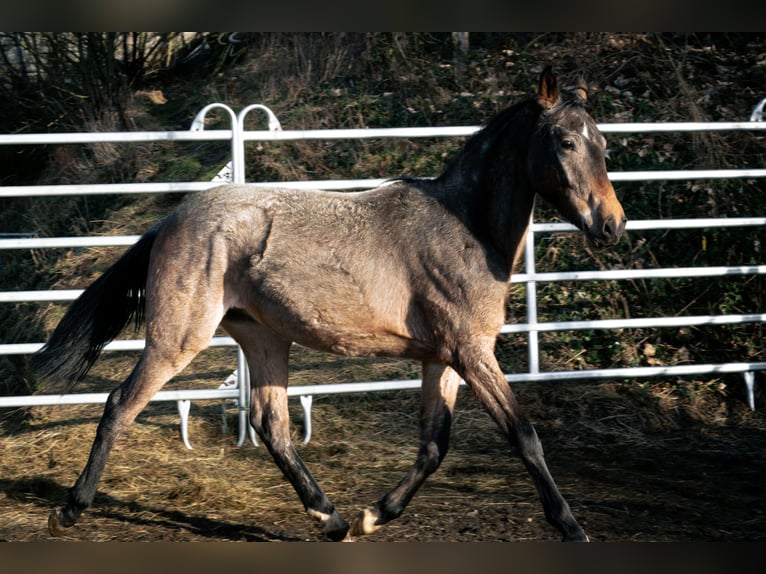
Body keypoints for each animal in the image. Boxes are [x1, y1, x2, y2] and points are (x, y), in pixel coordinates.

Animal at [34, 67, 625, 542]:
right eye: (566, 142)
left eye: (603, 145)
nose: (612, 225)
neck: (464, 228)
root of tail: (171, 220)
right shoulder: (472, 353)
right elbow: (524, 436)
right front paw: (571, 527)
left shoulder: (444, 359)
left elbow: (433, 446)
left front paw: (372, 516)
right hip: (178, 337)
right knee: (120, 404)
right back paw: (68, 511)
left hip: (264, 337)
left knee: (271, 425)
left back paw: (332, 519)